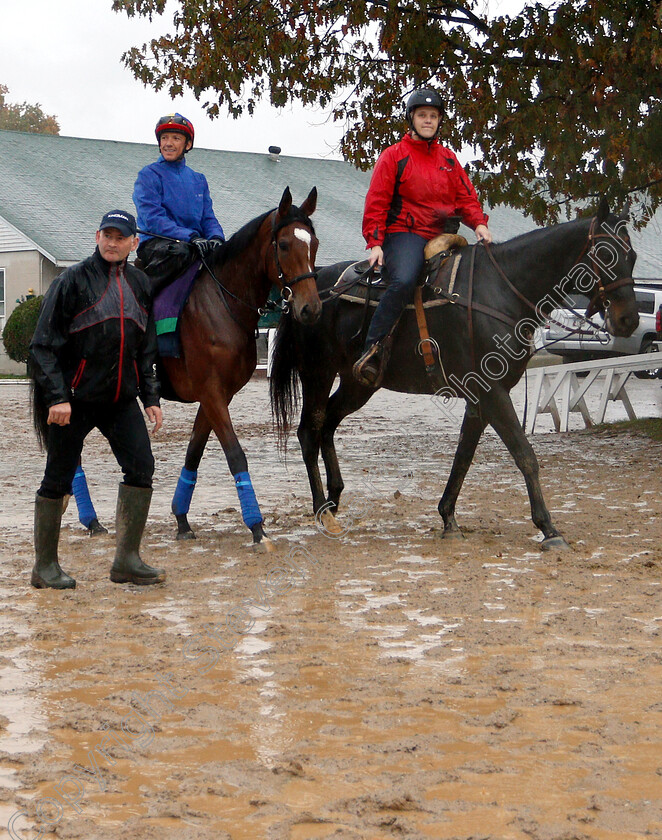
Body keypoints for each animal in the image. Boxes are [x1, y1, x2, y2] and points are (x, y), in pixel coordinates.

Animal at [165, 186, 322, 548]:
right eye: (283, 244)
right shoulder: (211, 393)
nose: (311, 308)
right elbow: (236, 454)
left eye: (315, 243)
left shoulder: (217, 395)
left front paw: (181, 519)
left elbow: (193, 452)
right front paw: (256, 526)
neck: (220, 304)